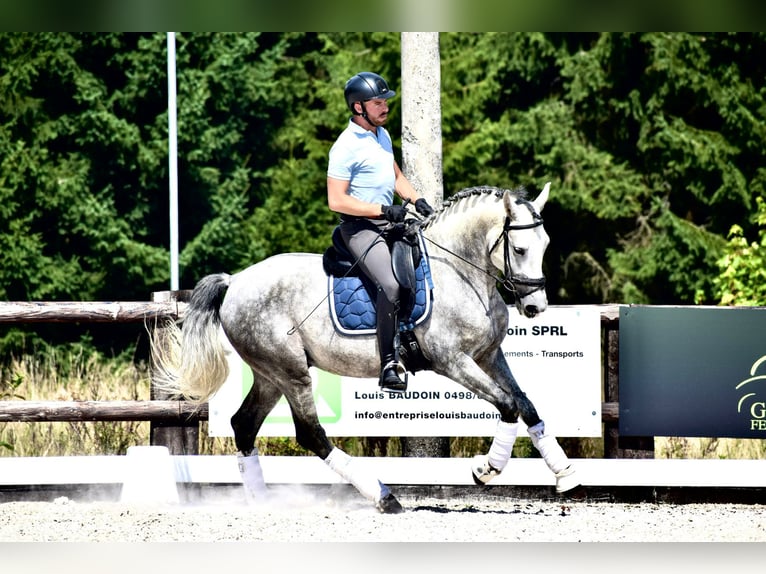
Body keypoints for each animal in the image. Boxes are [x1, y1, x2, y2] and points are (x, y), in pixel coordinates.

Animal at [153, 182, 580, 516]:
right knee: (311, 434)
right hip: (290, 371)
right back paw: (383, 496)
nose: (535, 307)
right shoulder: (453, 361)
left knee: (244, 425)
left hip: (270, 374)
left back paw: (263, 502)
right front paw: (486, 470)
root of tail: (236, 281)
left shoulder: (489, 356)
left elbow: (526, 405)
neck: (461, 272)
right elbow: (507, 405)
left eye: (545, 245)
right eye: (520, 249)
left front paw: (565, 472)